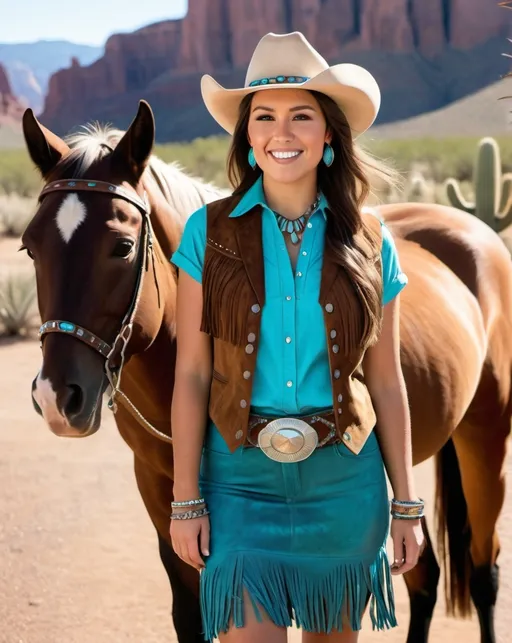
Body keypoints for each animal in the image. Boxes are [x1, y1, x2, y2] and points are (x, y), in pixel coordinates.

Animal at [21, 102, 512, 643]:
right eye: (29, 248)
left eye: (123, 247)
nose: (56, 399)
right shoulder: (159, 490)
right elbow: (188, 613)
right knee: (425, 575)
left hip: (485, 438)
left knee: (483, 571)